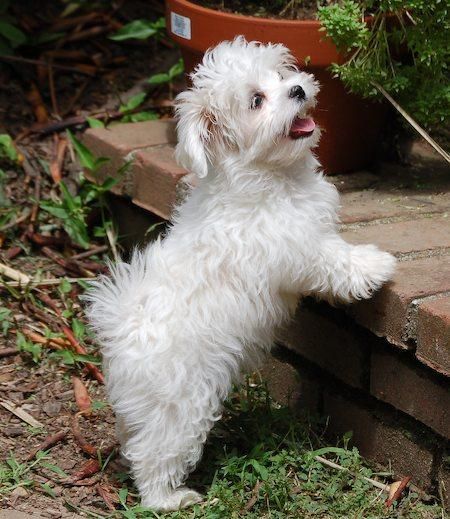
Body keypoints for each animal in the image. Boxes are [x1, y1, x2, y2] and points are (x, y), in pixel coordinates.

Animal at [86, 36, 396, 512]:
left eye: (281, 75)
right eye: (256, 101)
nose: (298, 90)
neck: (269, 174)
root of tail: (122, 327)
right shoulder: (296, 247)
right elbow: (333, 258)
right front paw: (374, 265)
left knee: (135, 437)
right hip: (181, 403)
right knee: (157, 453)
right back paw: (169, 498)